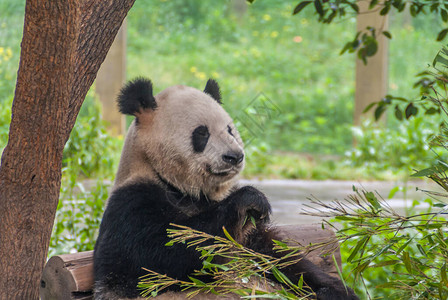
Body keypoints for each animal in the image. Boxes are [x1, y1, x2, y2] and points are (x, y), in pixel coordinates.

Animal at [93, 78, 358, 300]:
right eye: (202, 133)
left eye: (230, 129)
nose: (235, 156)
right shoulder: (133, 202)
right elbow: (161, 256)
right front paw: (251, 199)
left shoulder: (249, 236)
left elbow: (279, 259)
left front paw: (335, 291)